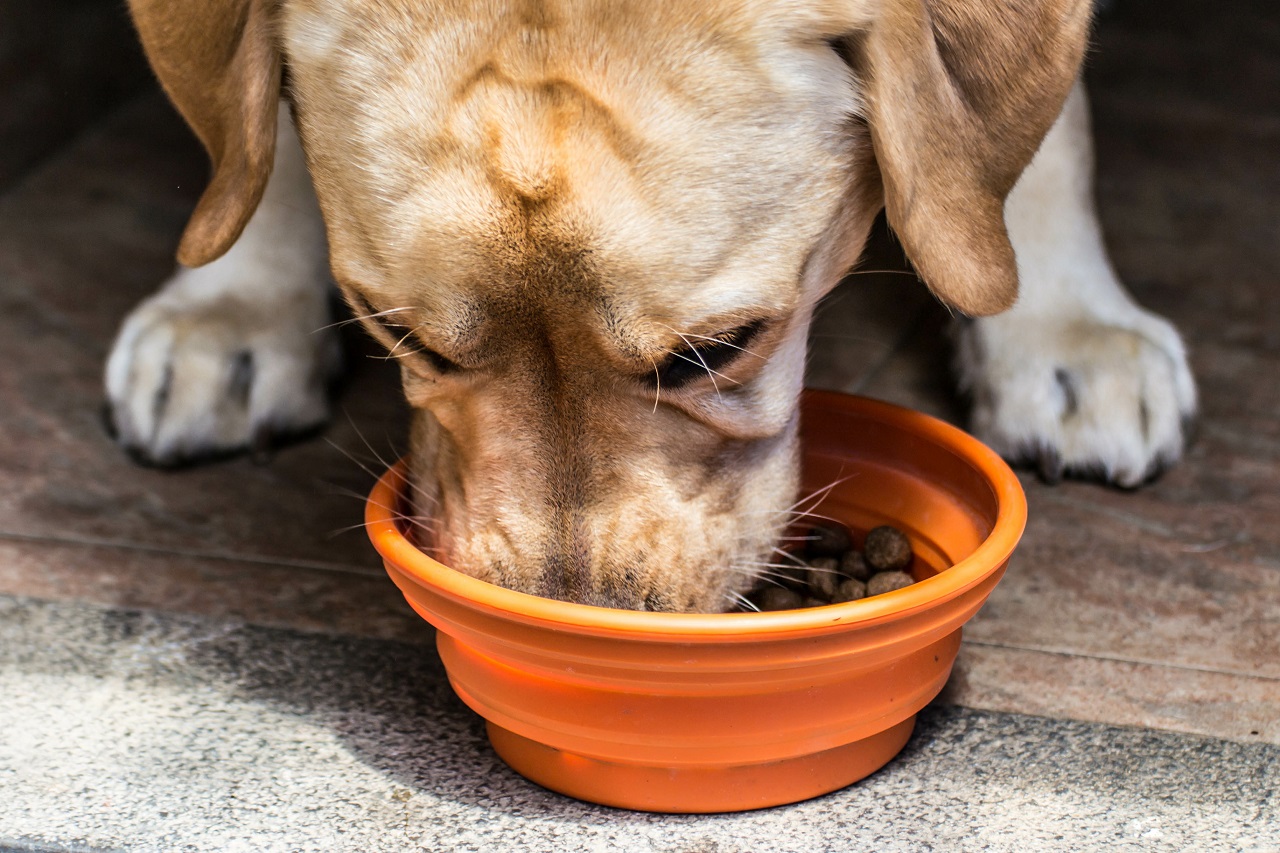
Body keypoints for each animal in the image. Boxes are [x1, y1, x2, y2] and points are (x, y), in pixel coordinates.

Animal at [107, 0, 1198, 612]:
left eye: (717, 351)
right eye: (400, 333)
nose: (577, 614)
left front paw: (1061, 325)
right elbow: (249, 137)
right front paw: (236, 299)